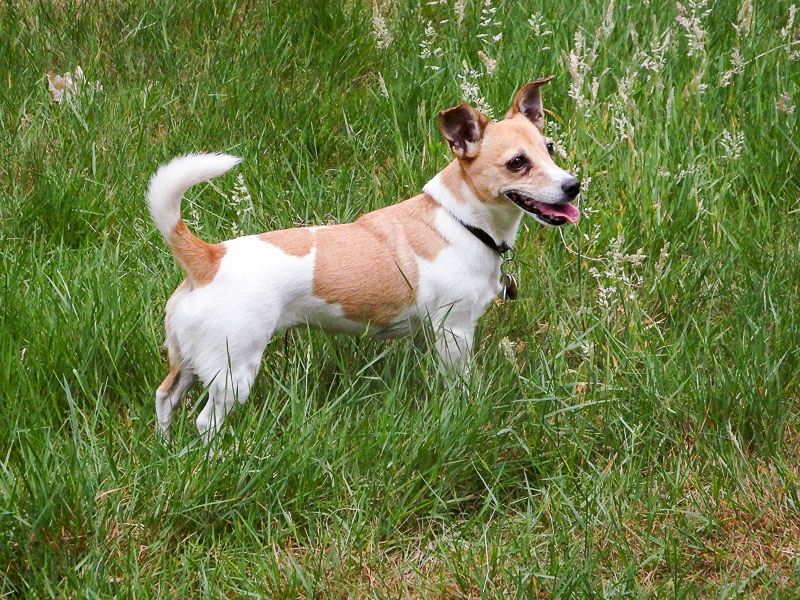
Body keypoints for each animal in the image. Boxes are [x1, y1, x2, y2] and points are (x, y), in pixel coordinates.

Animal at [147, 77, 580, 442]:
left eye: (550, 149)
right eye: (517, 163)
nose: (573, 185)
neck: (462, 221)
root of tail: (207, 258)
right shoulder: (455, 331)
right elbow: (461, 382)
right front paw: (467, 411)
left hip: (187, 362)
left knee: (166, 397)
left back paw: (167, 447)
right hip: (234, 370)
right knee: (206, 421)